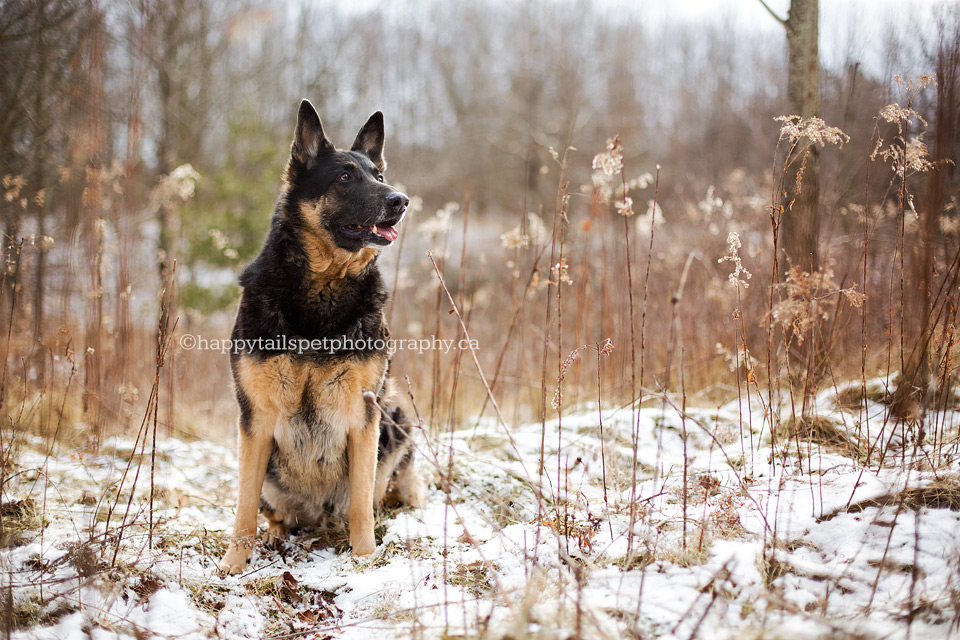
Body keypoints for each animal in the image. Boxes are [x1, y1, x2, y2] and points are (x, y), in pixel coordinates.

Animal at [223, 99, 426, 576]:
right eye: (345, 177)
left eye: (379, 175)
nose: (401, 200)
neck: (323, 288)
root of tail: (318, 519)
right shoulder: (255, 419)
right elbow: (243, 506)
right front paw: (234, 564)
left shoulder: (364, 416)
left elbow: (360, 503)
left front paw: (366, 560)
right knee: (274, 511)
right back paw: (277, 534)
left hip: (398, 416)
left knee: (383, 496)